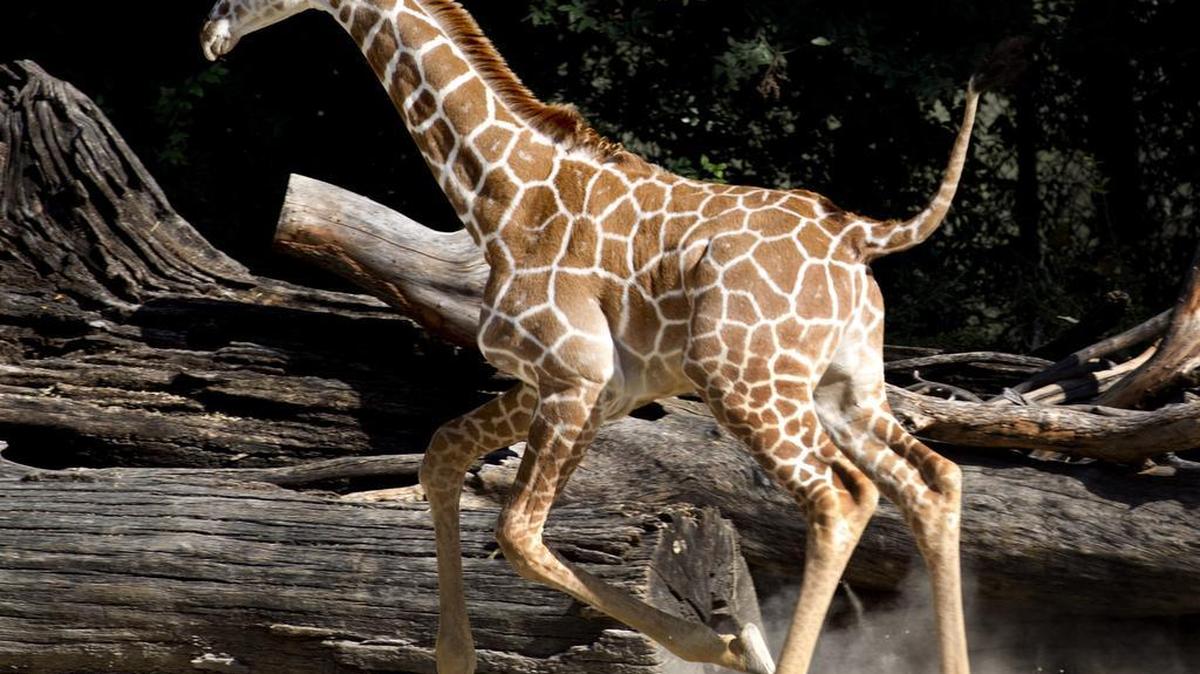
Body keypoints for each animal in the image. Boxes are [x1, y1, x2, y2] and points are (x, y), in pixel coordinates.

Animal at [201, 2, 996, 672]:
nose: (212, 30)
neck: (500, 196)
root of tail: (862, 236)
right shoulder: (573, 386)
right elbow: (442, 455)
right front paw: (454, 656)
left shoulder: (573, 377)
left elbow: (518, 534)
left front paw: (722, 644)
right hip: (845, 389)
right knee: (933, 481)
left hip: (747, 381)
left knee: (841, 498)